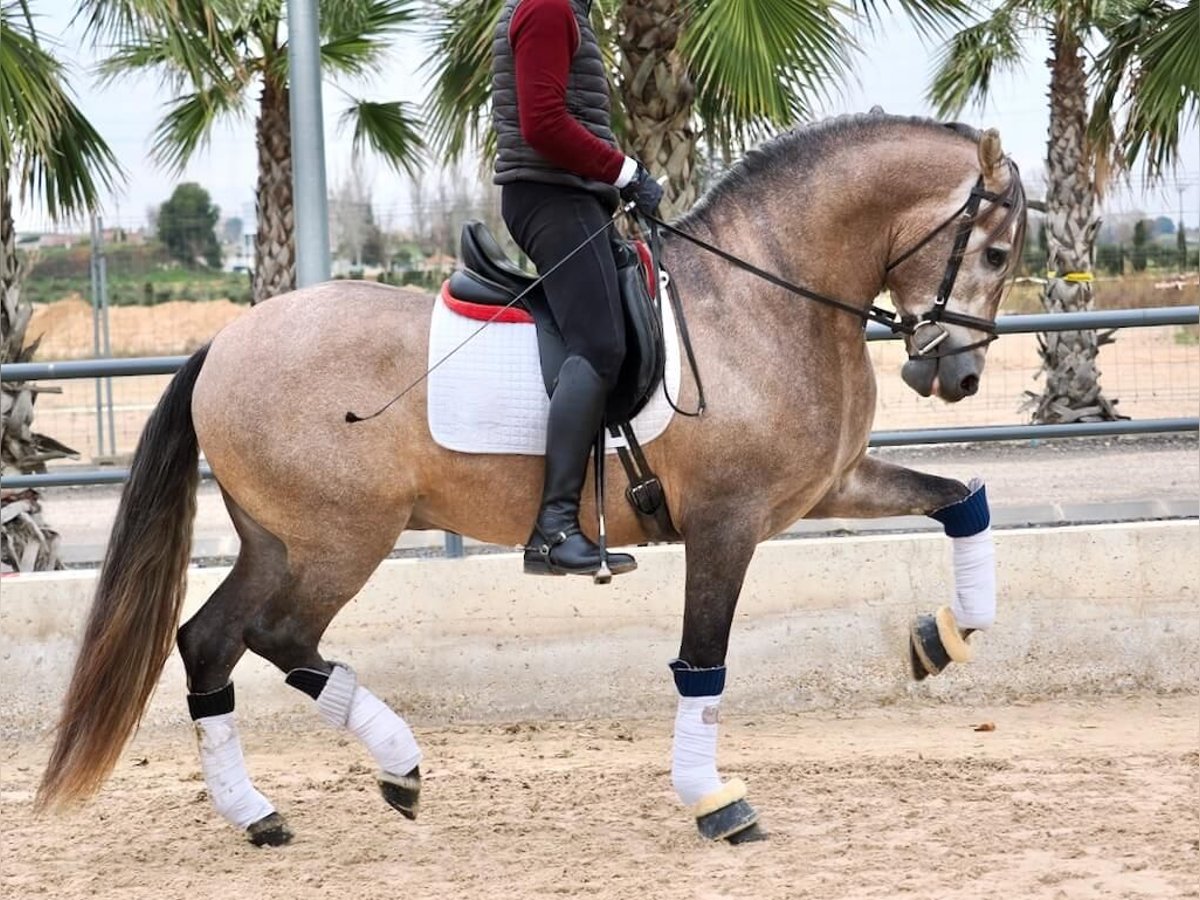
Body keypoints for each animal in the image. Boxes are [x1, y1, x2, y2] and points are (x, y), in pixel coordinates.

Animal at [42, 111, 1027, 844]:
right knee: (280, 637)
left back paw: (259, 814)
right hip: (341, 539)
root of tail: (225, 343)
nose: (955, 377)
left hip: (277, 540)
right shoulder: (727, 524)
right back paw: (398, 764)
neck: (764, 296)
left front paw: (944, 638)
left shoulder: (830, 488)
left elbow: (966, 503)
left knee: (211, 643)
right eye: (995, 254)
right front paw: (716, 803)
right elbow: (702, 662)